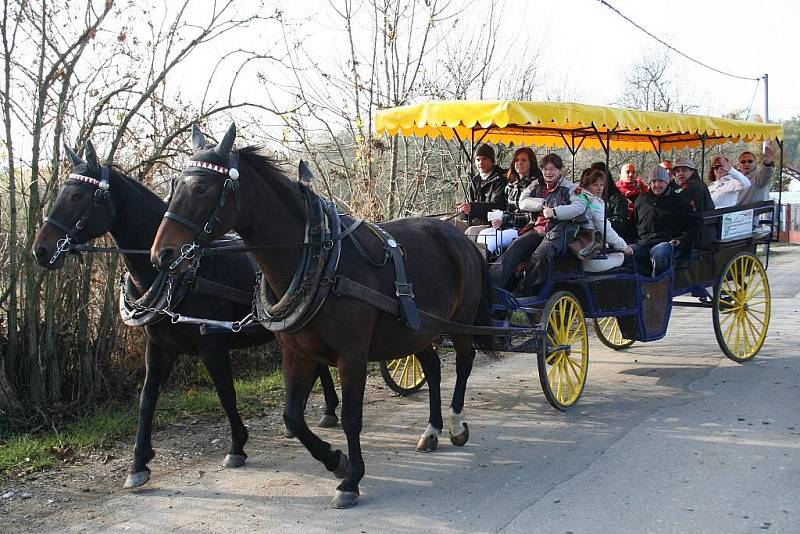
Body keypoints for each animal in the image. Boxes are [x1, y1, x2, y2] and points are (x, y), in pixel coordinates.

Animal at [149, 123, 494, 508]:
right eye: (175, 185)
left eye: (201, 188)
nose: (161, 254)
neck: (320, 259)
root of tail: (461, 236)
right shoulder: (296, 352)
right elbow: (293, 417)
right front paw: (336, 461)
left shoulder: (352, 354)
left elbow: (351, 417)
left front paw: (351, 480)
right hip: (419, 329)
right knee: (433, 369)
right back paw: (431, 430)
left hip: (460, 323)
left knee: (463, 363)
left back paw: (456, 424)